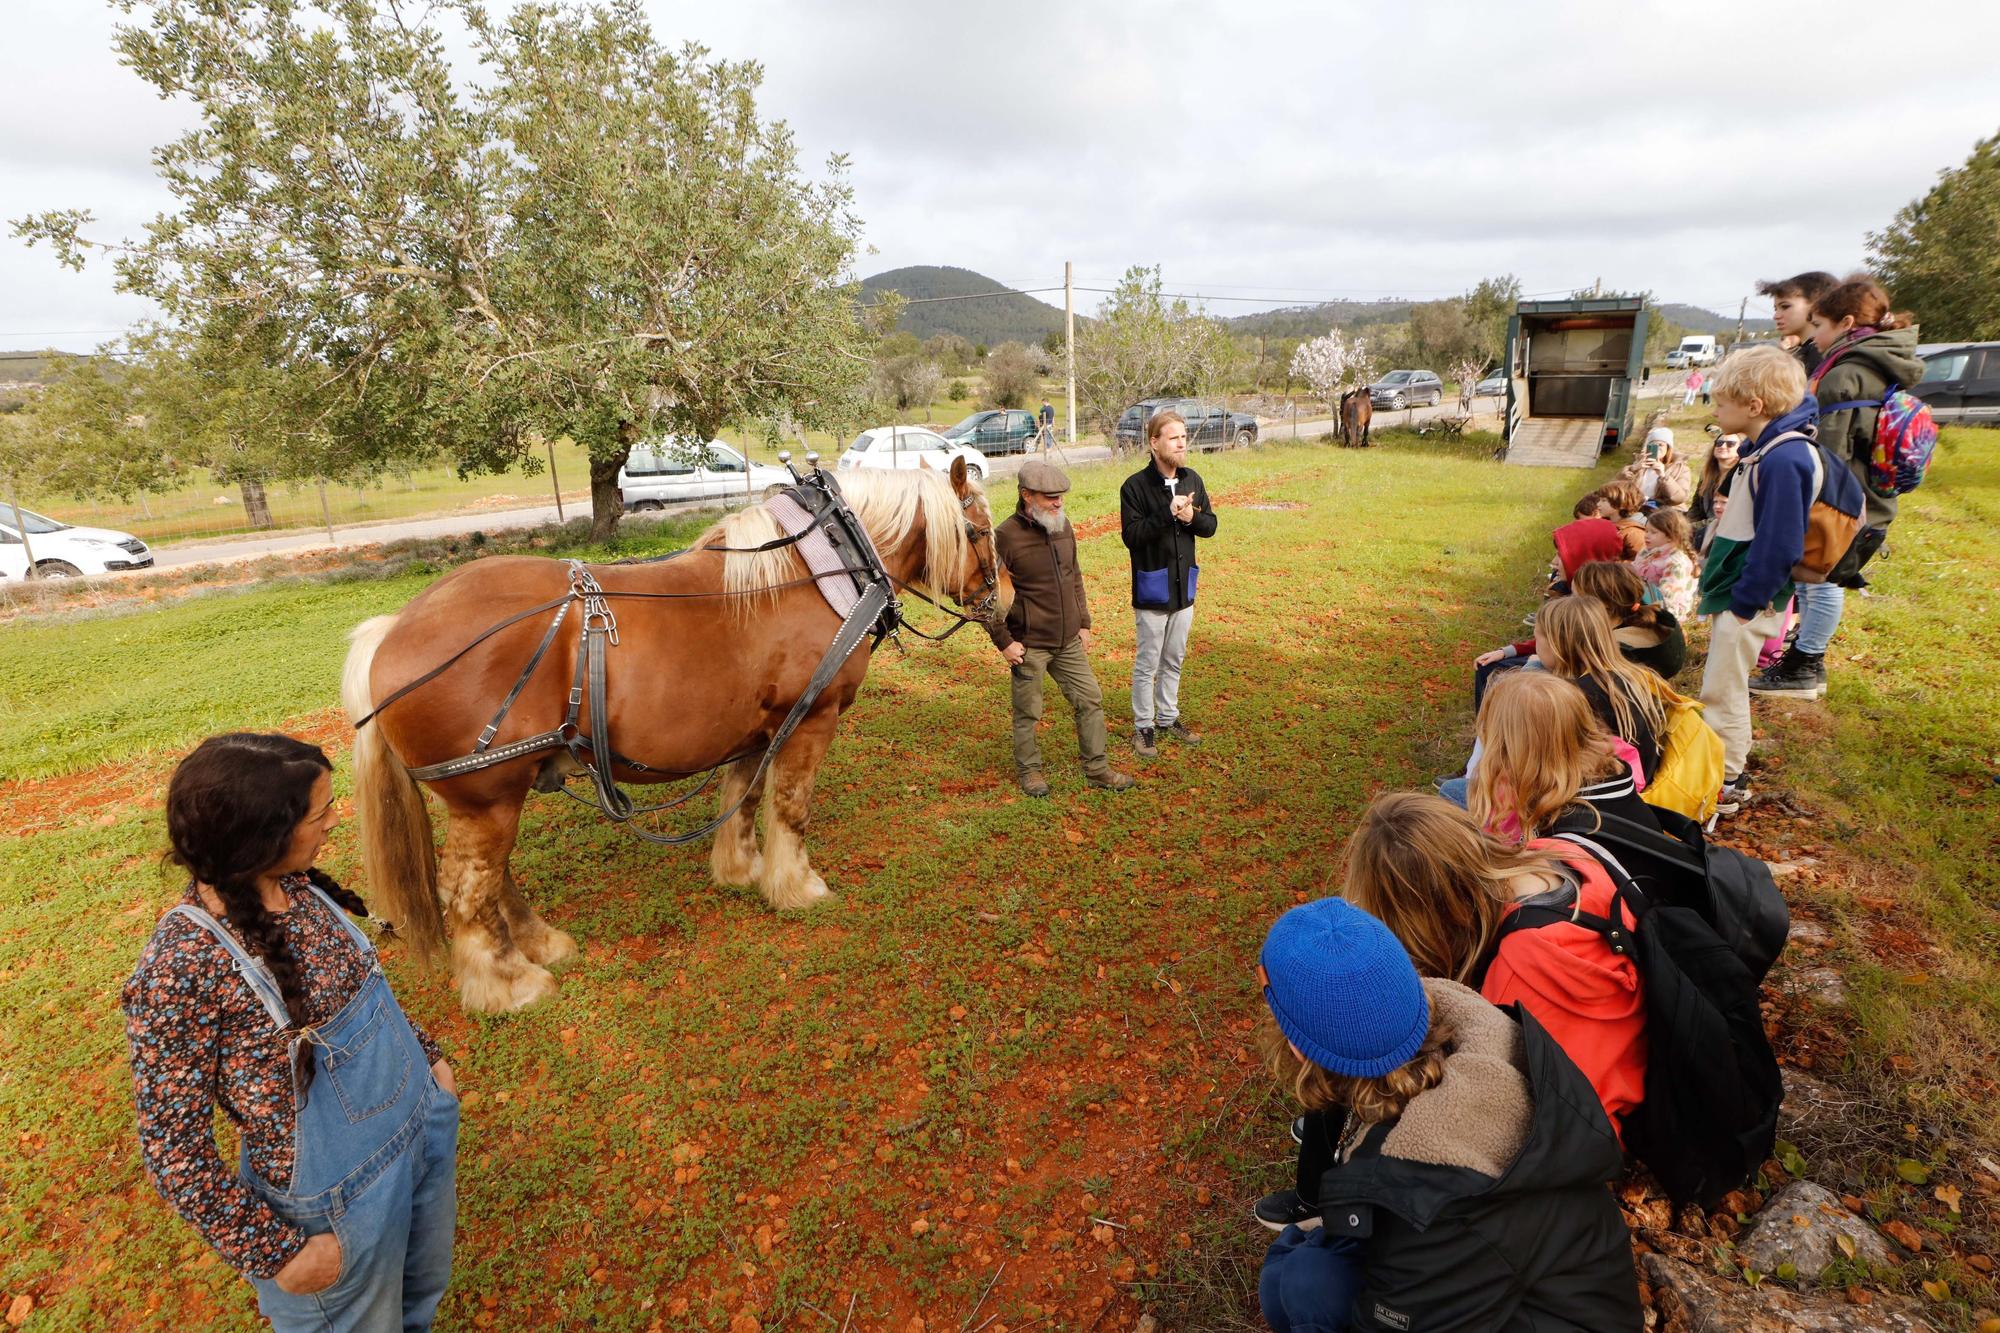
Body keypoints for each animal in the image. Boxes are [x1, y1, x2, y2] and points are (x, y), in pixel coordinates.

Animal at [344, 456, 1008, 1008]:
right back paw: (509, 983)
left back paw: (541, 944)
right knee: (467, 890)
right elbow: (791, 809)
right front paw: (798, 885)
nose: (999, 601)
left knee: (494, 881)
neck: (823, 568)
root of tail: (392, 631)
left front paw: (742, 870)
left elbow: (745, 796)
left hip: (491, 796)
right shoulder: (811, 719)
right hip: (488, 797)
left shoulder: (762, 727)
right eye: (979, 530)